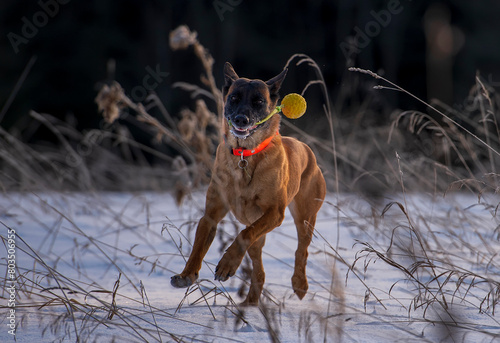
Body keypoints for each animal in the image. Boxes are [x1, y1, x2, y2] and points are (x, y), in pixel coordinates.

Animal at [172, 62, 326, 306]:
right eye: (234, 98)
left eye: (258, 101)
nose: (241, 119)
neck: (245, 154)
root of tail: (306, 148)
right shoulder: (212, 214)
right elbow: (198, 246)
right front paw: (187, 275)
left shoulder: (275, 212)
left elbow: (243, 235)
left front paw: (226, 265)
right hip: (261, 234)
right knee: (259, 268)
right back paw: (251, 303)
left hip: (305, 216)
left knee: (301, 250)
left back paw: (299, 283)